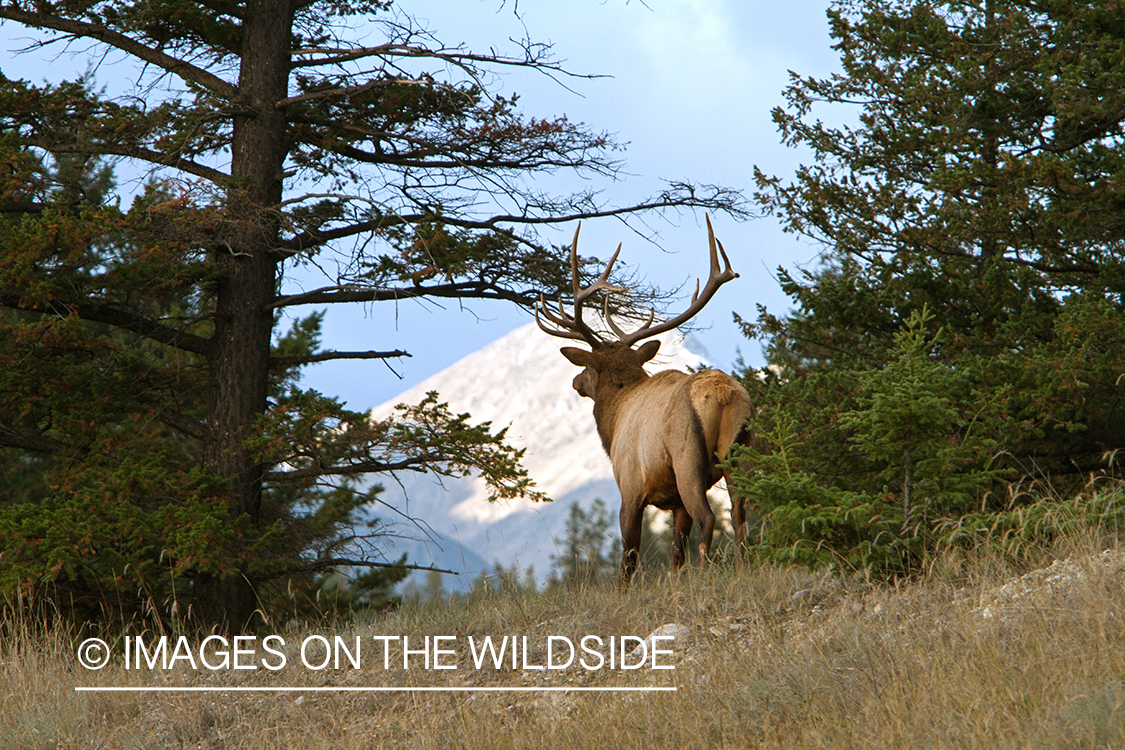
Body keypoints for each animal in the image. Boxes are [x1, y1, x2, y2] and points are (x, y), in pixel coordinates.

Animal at [537, 217, 751, 584]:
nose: (576, 382)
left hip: (687, 458)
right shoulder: (673, 501)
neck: (613, 423)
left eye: (588, 366)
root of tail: (724, 394)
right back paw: (740, 572)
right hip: (741, 449)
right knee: (740, 512)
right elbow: (675, 553)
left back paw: (705, 577)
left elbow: (629, 558)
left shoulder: (630, 486)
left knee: (709, 518)